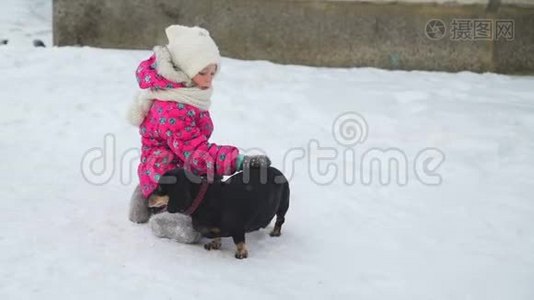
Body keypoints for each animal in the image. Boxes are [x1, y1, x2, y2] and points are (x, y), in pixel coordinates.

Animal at [155, 165, 292, 258]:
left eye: (160, 187)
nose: (149, 197)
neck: (203, 199)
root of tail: (278, 172)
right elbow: (216, 234)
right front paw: (214, 244)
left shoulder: (238, 228)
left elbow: (239, 241)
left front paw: (241, 253)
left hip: (283, 205)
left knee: (280, 220)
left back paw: (275, 232)